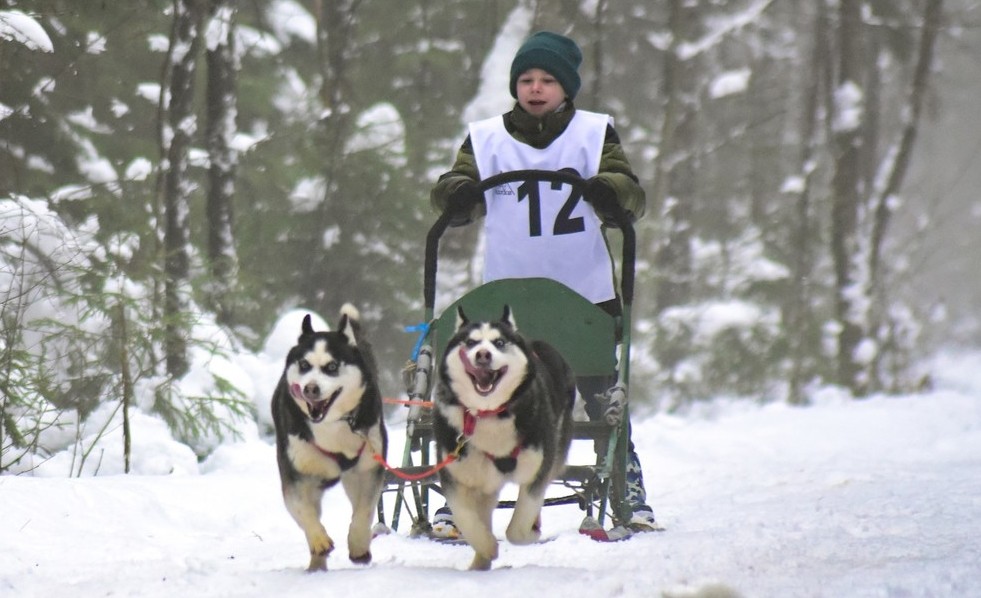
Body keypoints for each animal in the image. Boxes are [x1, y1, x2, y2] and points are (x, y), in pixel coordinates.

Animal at [274, 308, 388, 576]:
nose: (310, 389)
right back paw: (316, 564)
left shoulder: (368, 469)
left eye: (332, 366)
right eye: (304, 365)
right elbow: (303, 510)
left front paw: (359, 546)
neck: (333, 425)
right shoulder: (296, 475)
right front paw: (318, 540)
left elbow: (364, 511)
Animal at [434, 308, 576, 576]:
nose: (483, 354)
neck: (488, 414)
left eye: (499, 342)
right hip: (485, 480)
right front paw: (486, 547)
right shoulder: (456, 475)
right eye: (470, 342)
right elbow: (467, 519)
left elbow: (518, 528)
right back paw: (480, 562)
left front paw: (531, 532)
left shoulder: (537, 469)